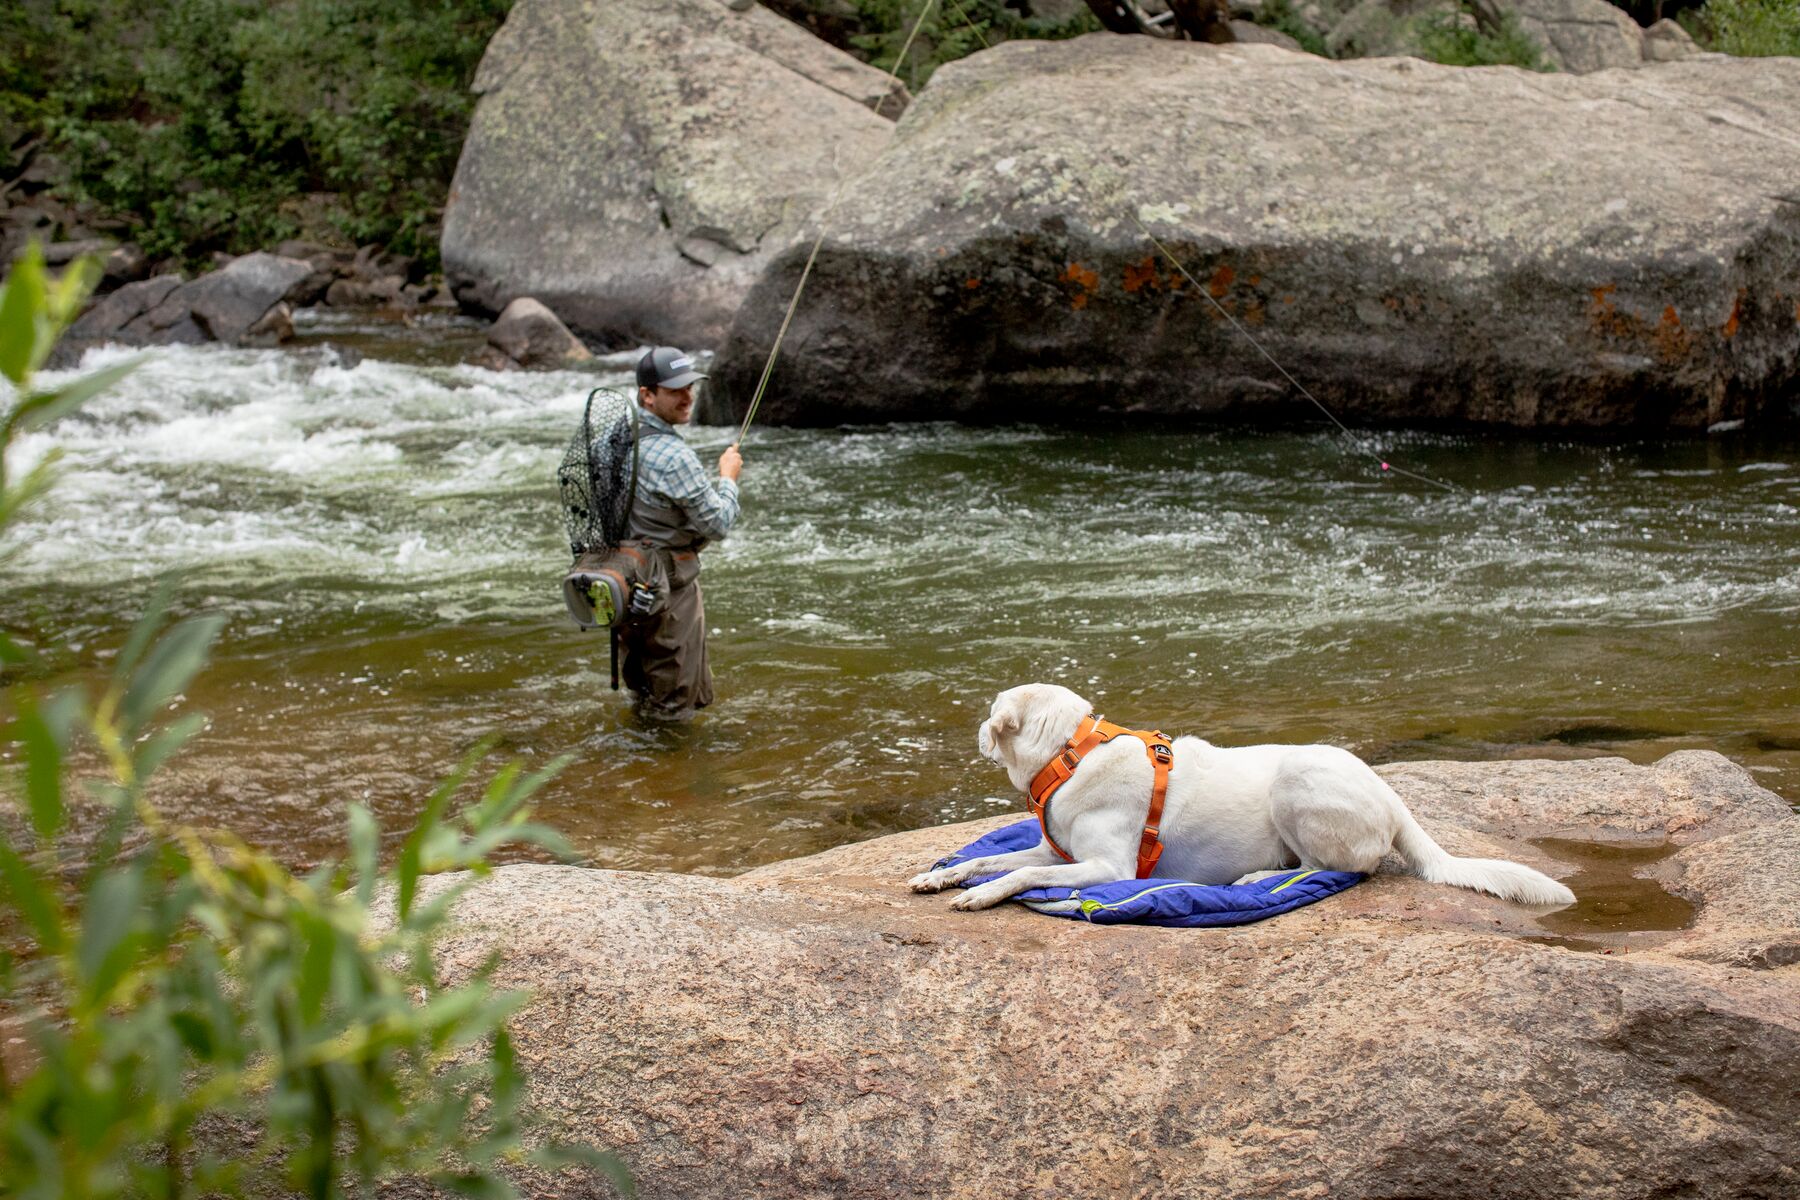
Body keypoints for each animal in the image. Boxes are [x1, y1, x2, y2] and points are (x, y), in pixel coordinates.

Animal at [914, 683, 1576, 921]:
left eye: (990, 713)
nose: (976, 731)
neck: (1071, 756)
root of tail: (1394, 799)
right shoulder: (1061, 856)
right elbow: (991, 859)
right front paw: (942, 876)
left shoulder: (1108, 868)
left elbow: (1019, 873)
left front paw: (979, 896)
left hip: (1298, 783)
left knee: (1338, 867)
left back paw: (1259, 878)